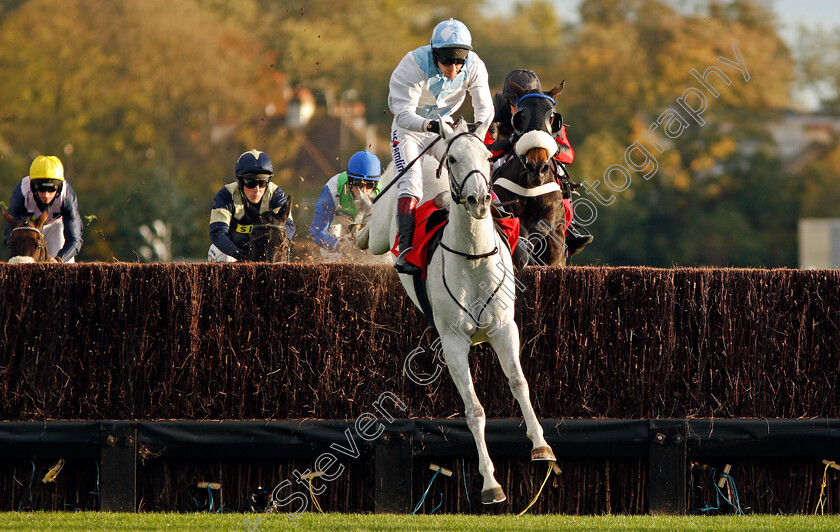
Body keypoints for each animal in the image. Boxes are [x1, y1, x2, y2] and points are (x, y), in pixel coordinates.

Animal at [358, 118, 556, 504]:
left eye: (487, 157)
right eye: (453, 160)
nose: (479, 200)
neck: (473, 257)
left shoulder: (504, 329)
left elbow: (519, 383)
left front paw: (541, 446)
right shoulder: (452, 342)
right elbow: (475, 409)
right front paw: (491, 483)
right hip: (384, 224)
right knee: (370, 230)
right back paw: (356, 224)